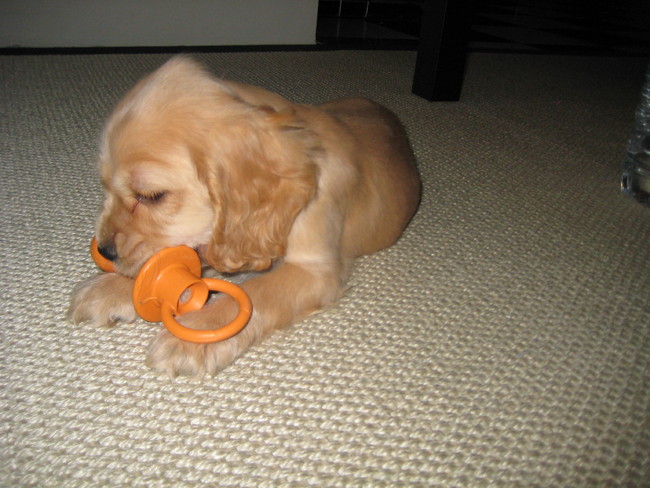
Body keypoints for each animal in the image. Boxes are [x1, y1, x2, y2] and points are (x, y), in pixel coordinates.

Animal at [68, 56, 421, 377]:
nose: (104, 251)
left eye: (151, 196)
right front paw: (110, 288)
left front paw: (192, 338)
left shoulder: (317, 271)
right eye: (104, 186)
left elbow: (255, 293)